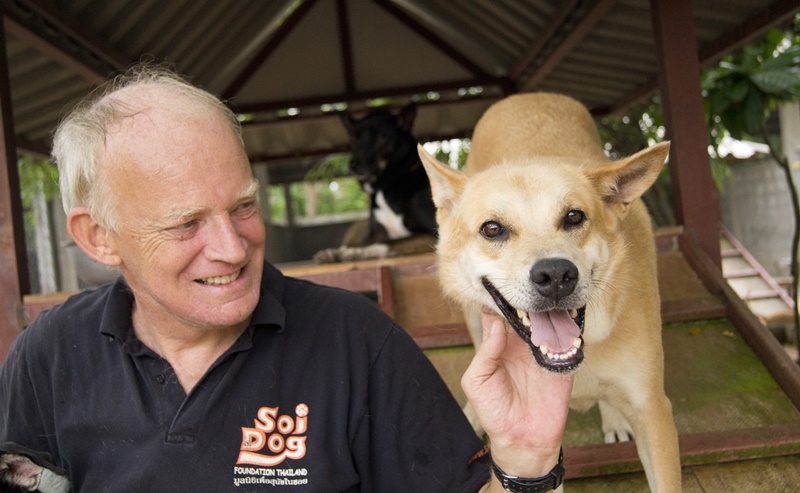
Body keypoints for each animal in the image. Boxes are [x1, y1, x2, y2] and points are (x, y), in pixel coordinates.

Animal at [314, 104, 438, 264]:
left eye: (380, 137)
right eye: (354, 138)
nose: (353, 165)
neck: (387, 185)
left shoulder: (432, 233)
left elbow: (389, 242)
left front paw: (354, 252)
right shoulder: (377, 232)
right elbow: (365, 242)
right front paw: (337, 251)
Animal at [418, 93, 680, 492]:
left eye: (574, 217)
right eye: (492, 228)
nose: (556, 275)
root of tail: (525, 95)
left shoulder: (652, 409)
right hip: (473, 318)